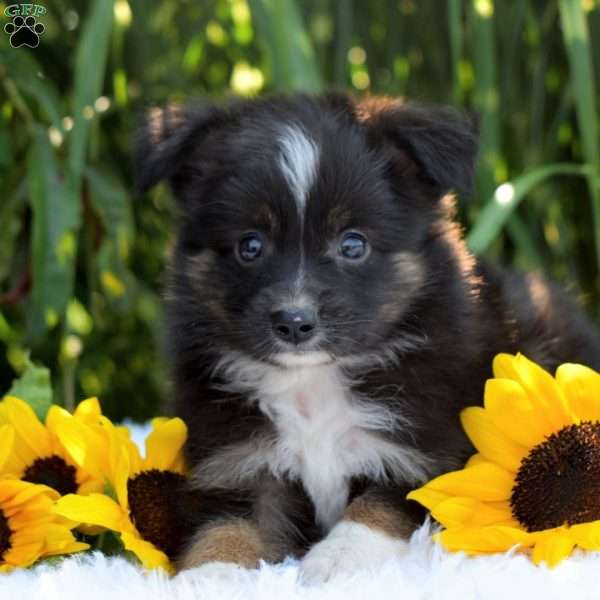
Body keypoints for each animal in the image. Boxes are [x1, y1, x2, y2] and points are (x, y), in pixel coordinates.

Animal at [136, 94, 600, 580]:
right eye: (250, 245)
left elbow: (376, 507)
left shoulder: (427, 458)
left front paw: (337, 558)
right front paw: (208, 575)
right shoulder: (236, 461)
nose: (295, 322)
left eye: (353, 244)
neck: (311, 384)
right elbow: (225, 523)